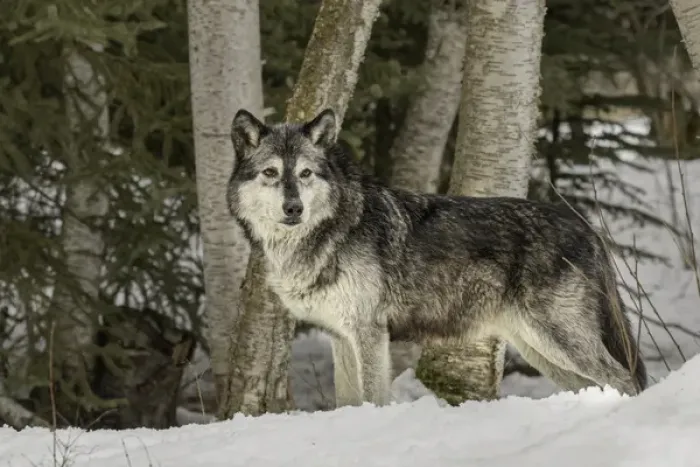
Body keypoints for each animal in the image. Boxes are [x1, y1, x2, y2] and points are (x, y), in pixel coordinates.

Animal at [226, 108, 647, 408]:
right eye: (270, 173)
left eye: (305, 173)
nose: (293, 208)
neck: (331, 232)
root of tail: (587, 228)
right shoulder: (340, 337)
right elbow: (348, 403)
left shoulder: (369, 333)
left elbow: (374, 399)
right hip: (540, 348)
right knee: (593, 385)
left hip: (559, 340)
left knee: (625, 378)